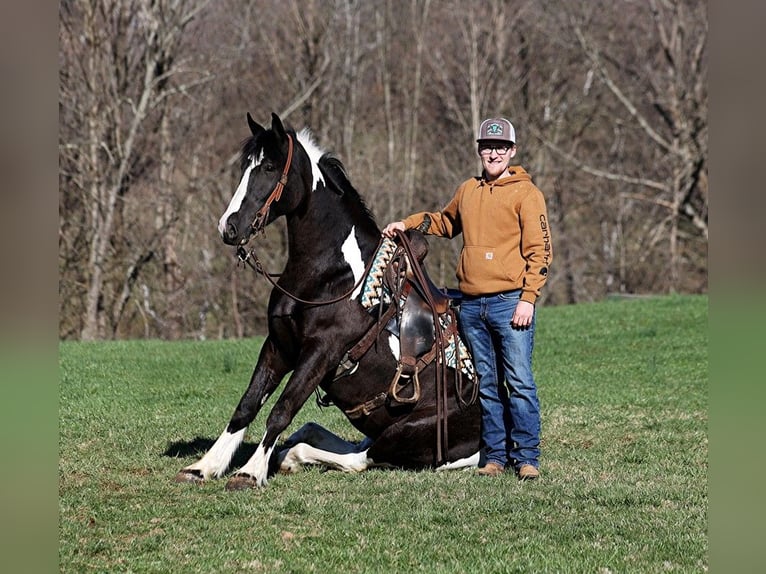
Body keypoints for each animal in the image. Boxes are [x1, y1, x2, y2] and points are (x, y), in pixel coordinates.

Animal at [177, 112, 484, 490]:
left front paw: (249, 472)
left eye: (268, 168)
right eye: (244, 167)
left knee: (359, 459)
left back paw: (291, 456)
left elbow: (281, 410)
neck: (331, 276)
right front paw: (205, 466)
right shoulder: (279, 346)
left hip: (403, 433)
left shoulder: (320, 353)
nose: (228, 227)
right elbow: (246, 406)